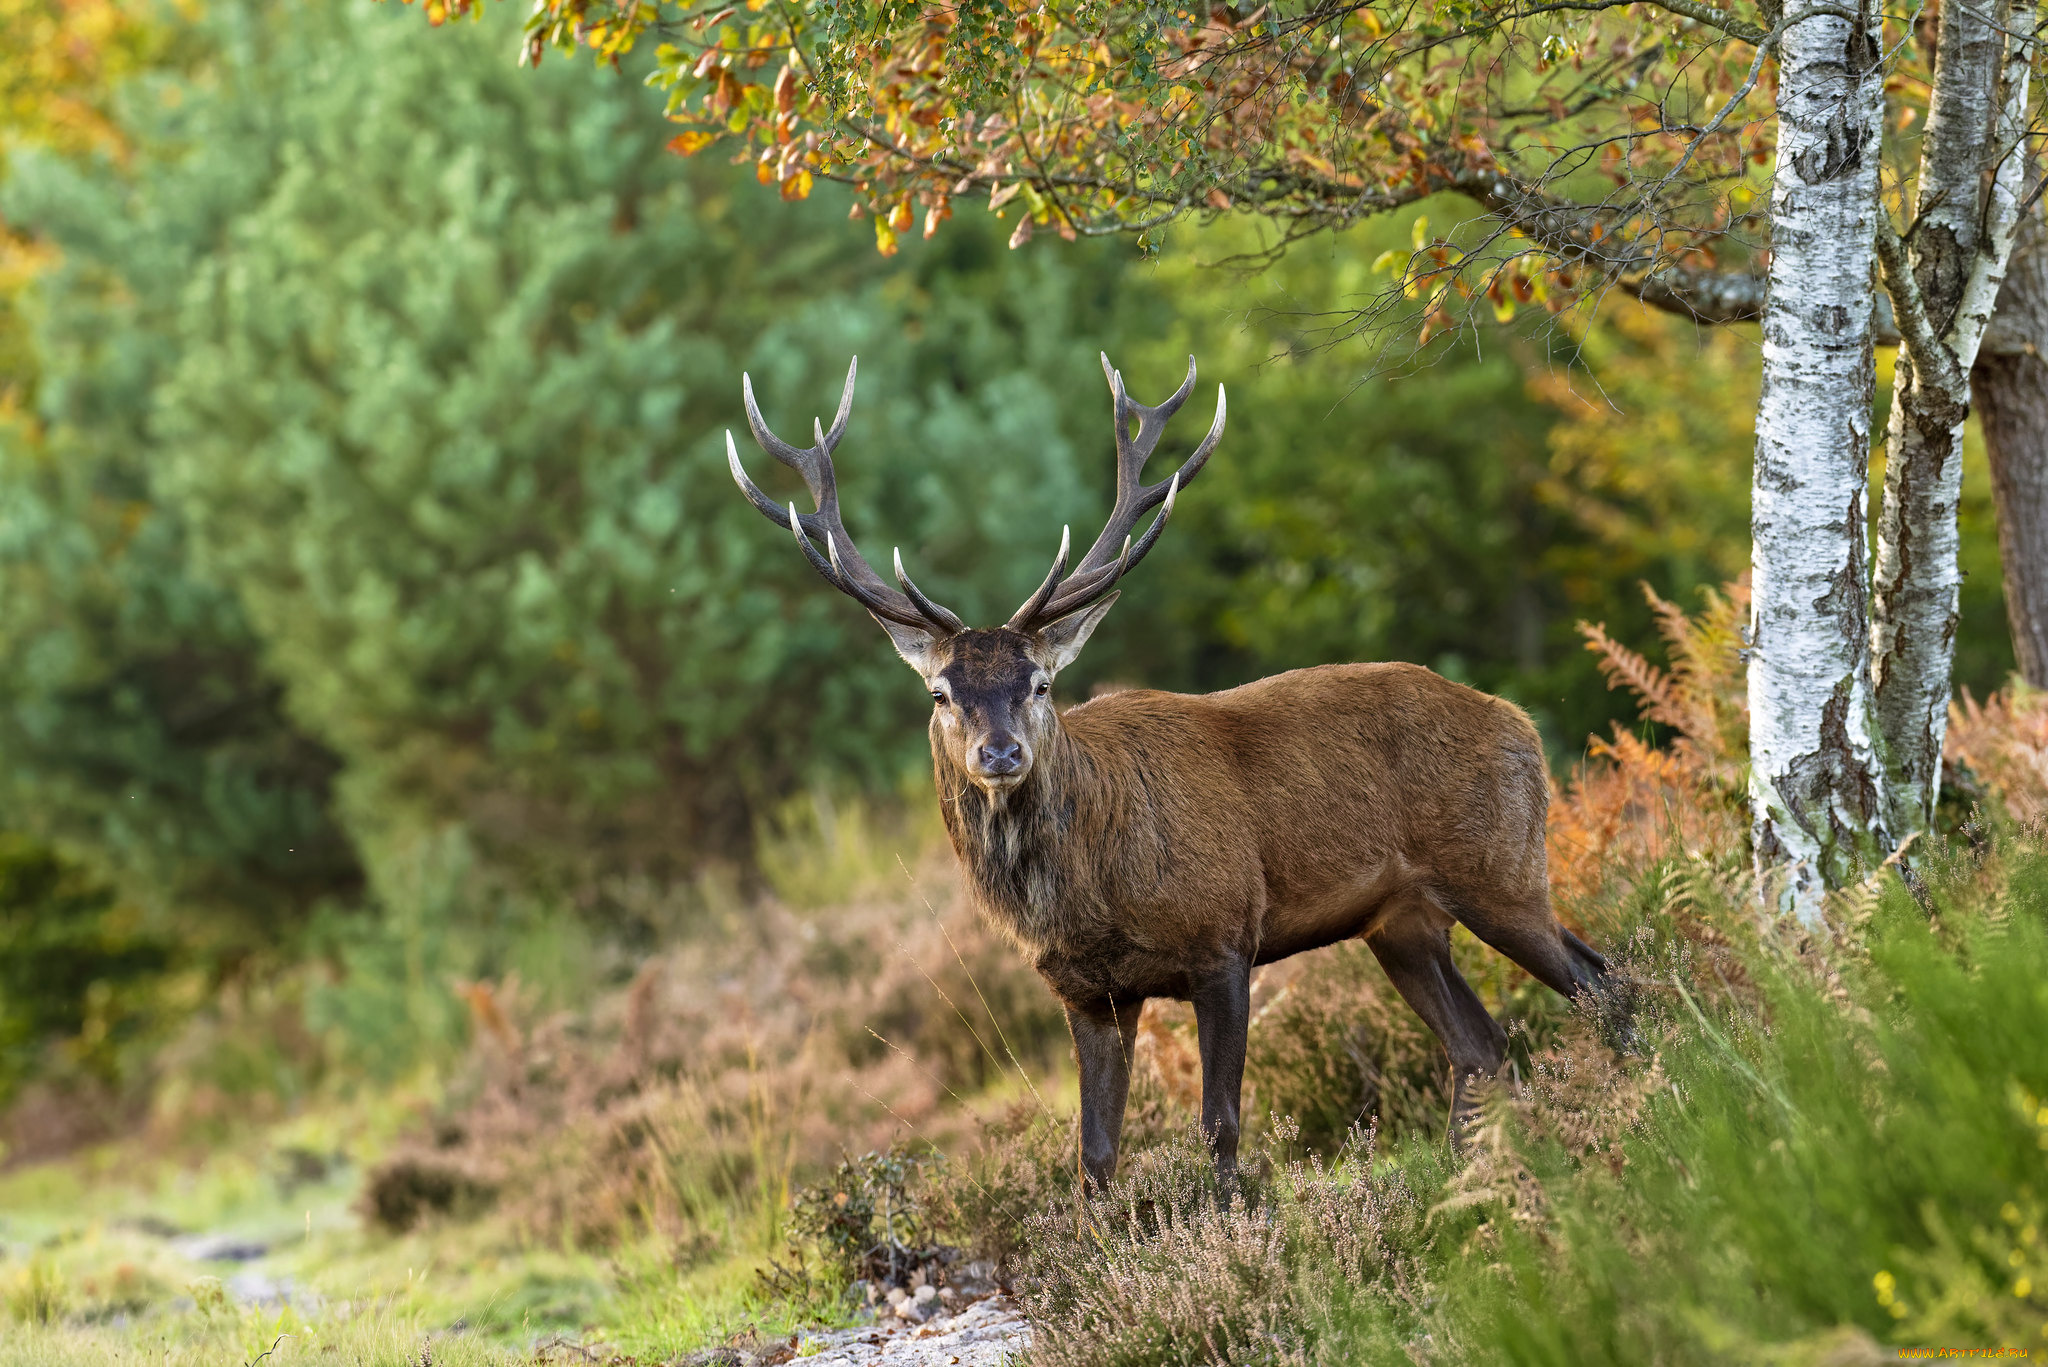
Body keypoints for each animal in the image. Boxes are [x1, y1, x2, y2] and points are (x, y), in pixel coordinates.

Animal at [729, 356, 1622, 1196]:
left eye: (1039, 683)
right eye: (942, 692)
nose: (1001, 753)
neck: (1090, 895)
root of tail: (1521, 724)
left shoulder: (1222, 935)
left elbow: (1219, 1123)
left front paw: (1235, 1228)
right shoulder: (1086, 992)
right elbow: (1093, 1156)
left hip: (1499, 865)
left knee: (1601, 981)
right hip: (1400, 920)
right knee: (1481, 1043)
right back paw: (1475, 1177)